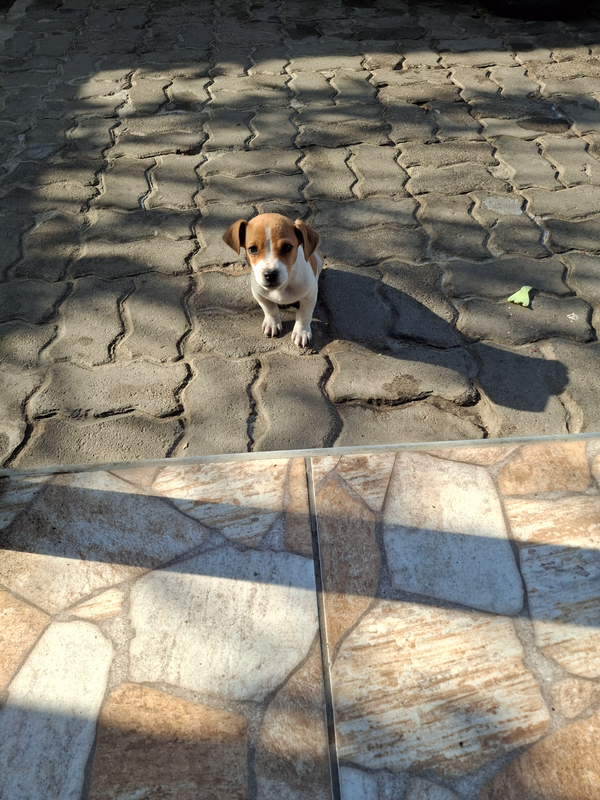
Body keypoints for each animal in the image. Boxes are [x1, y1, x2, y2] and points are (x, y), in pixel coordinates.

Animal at [221, 212, 324, 346]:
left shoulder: (310, 296)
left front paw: (301, 332)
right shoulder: (258, 293)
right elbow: (269, 308)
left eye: (287, 247)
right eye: (252, 249)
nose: (270, 274)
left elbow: (304, 314)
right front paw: (272, 323)